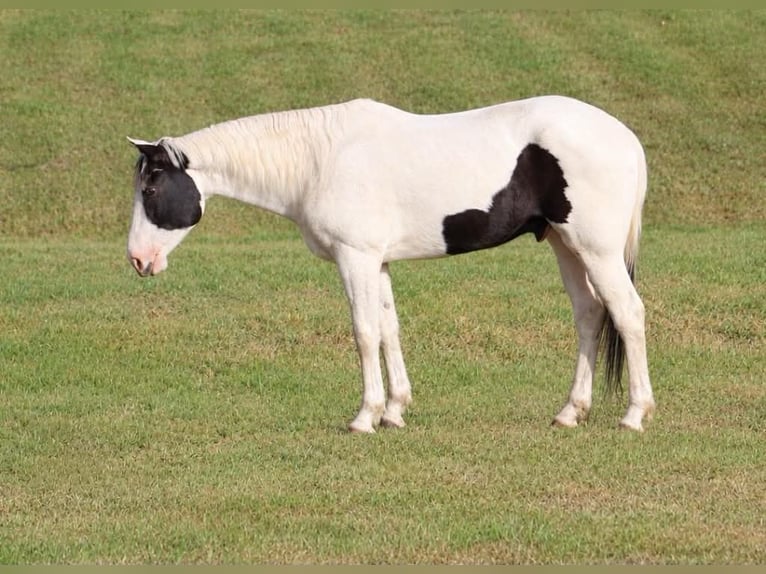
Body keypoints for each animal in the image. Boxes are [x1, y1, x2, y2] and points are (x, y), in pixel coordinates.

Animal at [126, 96, 655, 433]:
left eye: (150, 187)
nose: (137, 259)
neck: (319, 161)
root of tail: (626, 138)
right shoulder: (376, 262)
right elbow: (388, 329)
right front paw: (395, 411)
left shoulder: (355, 258)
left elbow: (363, 333)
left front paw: (366, 417)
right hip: (566, 246)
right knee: (590, 316)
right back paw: (571, 411)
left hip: (597, 251)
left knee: (628, 314)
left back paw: (635, 414)